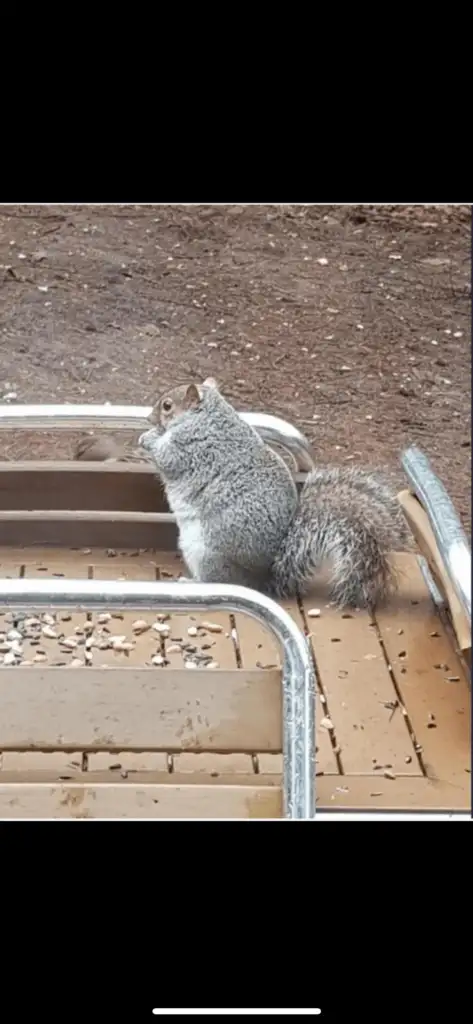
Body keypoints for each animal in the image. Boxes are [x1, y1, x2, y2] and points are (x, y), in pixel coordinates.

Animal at [140, 378, 409, 606]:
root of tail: (263, 578)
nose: (148, 418)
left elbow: (167, 458)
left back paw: (191, 582)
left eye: (167, 406)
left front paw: (148, 438)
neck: (206, 416)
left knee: (220, 581)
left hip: (206, 553)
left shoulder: (191, 449)